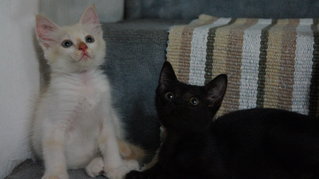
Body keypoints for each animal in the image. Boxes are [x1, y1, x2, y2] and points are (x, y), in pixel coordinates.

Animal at [31, 5, 144, 179]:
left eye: (89, 39)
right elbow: (54, 153)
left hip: (114, 118)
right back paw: (95, 166)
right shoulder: (53, 125)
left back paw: (121, 165)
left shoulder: (106, 120)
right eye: (66, 43)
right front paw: (56, 174)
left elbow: (111, 147)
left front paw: (116, 169)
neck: (84, 82)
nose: (83, 46)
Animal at [126, 62, 319, 179]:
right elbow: (153, 170)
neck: (179, 141)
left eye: (194, 101)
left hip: (277, 134)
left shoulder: (216, 174)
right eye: (170, 95)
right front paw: (138, 173)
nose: (176, 104)